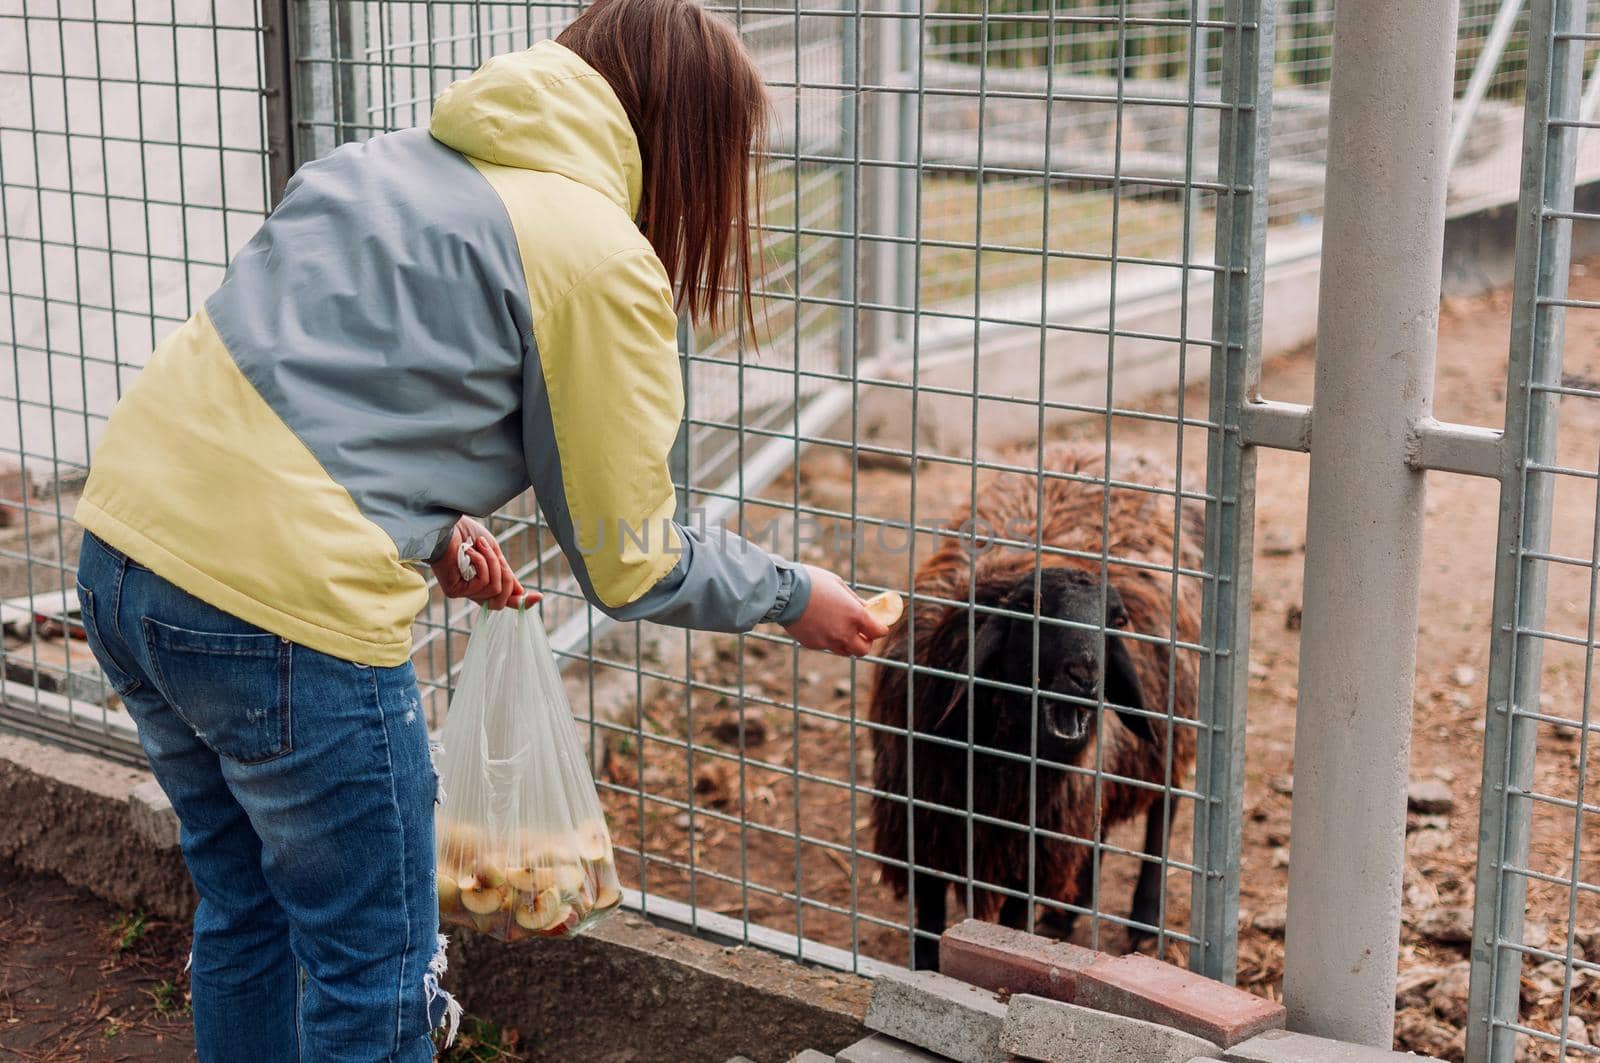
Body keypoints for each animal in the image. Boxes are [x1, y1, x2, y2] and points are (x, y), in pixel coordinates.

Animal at [864, 438, 1203, 973]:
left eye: (1117, 619)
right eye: (1028, 608)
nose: (1087, 677)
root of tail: (1122, 448)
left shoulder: (1029, 850)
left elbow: (1010, 924)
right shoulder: (927, 828)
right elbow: (928, 925)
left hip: (1170, 733)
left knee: (1162, 812)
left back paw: (1145, 921)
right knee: (1098, 830)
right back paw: (1066, 915)